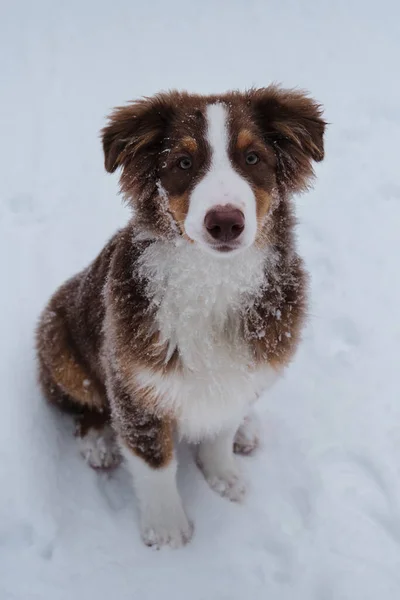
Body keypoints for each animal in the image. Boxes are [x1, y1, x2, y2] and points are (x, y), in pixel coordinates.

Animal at [36, 86, 324, 552]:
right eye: (184, 163)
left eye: (253, 158)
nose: (224, 222)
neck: (212, 281)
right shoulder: (133, 383)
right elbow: (155, 464)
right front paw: (167, 530)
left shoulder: (240, 373)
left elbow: (220, 431)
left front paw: (224, 476)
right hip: (57, 340)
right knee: (83, 404)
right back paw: (98, 442)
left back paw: (246, 430)